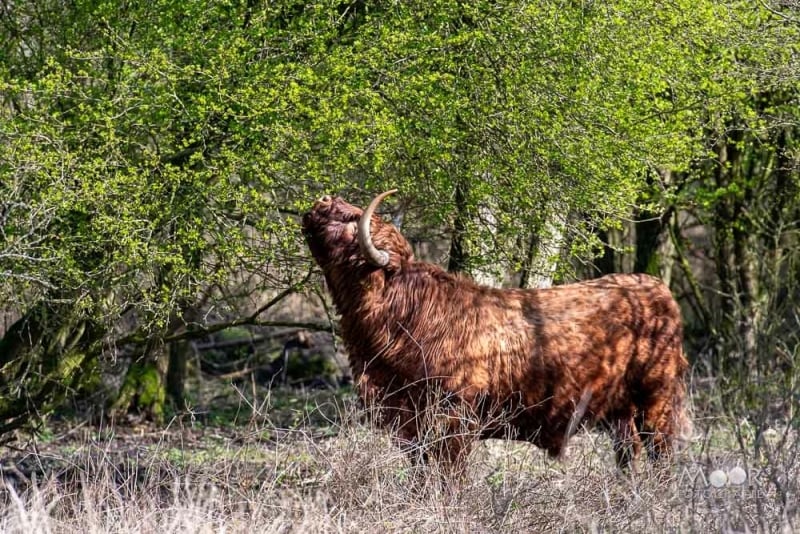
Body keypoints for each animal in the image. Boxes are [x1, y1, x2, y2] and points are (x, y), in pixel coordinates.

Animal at [304, 191, 692, 472]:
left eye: (350, 220)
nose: (321, 200)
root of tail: (656, 287)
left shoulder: (452, 422)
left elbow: (447, 479)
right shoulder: (410, 425)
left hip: (656, 401)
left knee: (661, 456)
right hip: (621, 411)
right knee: (628, 454)